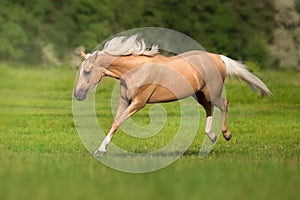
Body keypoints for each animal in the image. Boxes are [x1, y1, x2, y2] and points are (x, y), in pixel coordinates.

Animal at [73, 34, 272, 156]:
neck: (136, 70)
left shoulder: (138, 102)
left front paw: (101, 150)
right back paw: (212, 136)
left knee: (224, 103)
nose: (78, 95)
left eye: (87, 72)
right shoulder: (125, 101)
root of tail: (218, 57)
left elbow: (117, 122)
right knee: (209, 109)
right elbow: (115, 122)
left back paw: (226, 134)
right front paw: (101, 149)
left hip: (212, 93)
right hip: (200, 94)